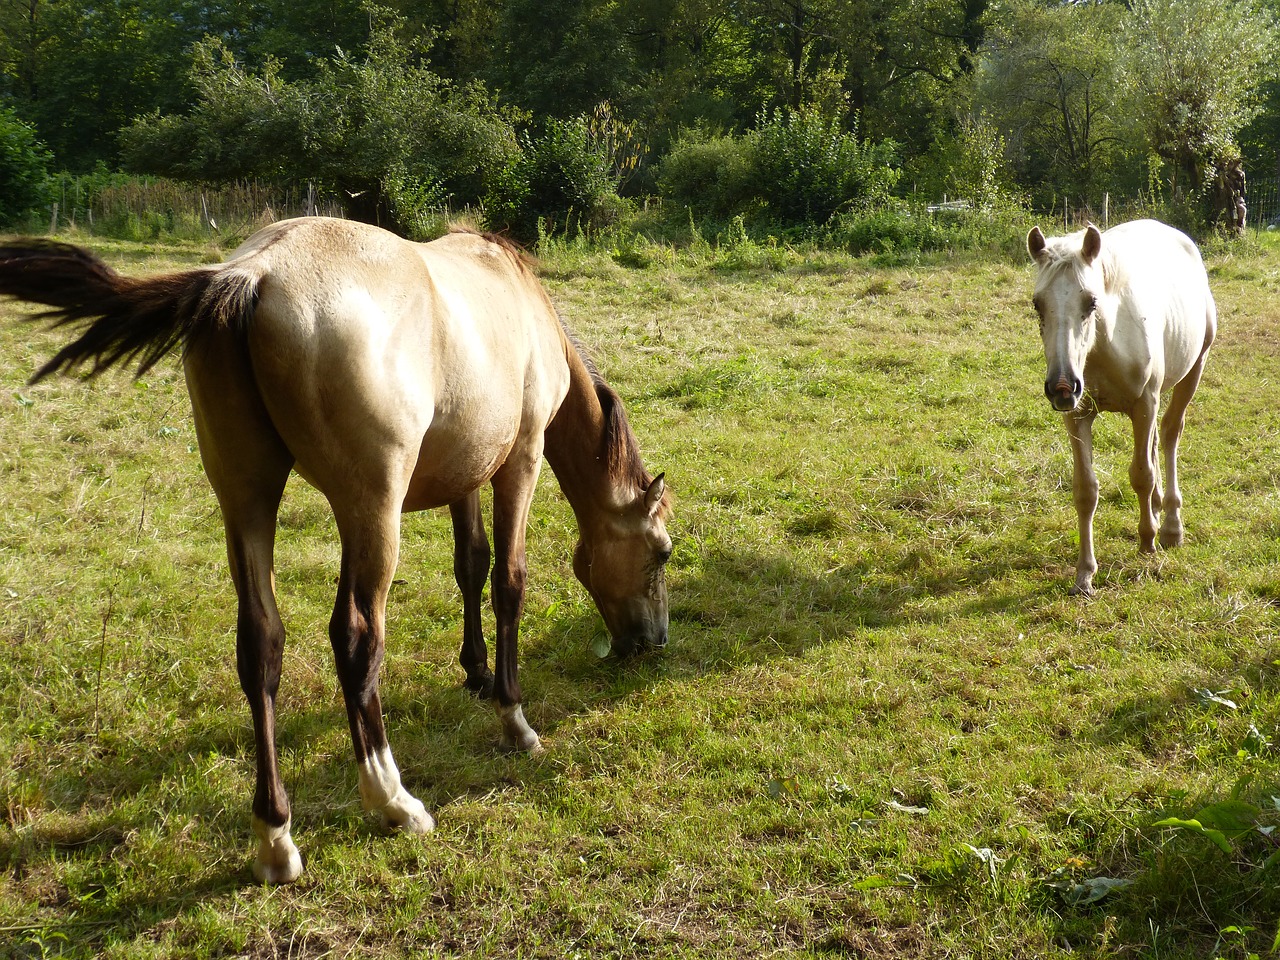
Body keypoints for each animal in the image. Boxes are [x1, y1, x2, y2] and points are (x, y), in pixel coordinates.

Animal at [0, 220, 675, 885]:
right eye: (662, 552)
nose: (653, 640)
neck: (518, 298)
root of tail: (251, 276)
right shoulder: (519, 462)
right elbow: (508, 582)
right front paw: (513, 718)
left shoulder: (466, 475)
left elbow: (471, 566)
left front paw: (477, 672)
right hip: (371, 509)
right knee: (356, 636)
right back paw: (392, 799)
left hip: (247, 499)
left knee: (260, 645)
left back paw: (276, 836)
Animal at [1024, 221, 1213, 599]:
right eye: (1038, 304)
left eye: (1091, 301)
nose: (1062, 386)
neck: (1103, 345)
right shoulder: (1077, 415)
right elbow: (1086, 490)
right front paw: (1085, 574)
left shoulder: (1144, 404)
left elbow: (1141, 474)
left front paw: (1147, 541)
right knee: (1155, 443)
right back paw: (1157, 507)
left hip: (1194, 369)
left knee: (1169, 435)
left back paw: (1170, 525)